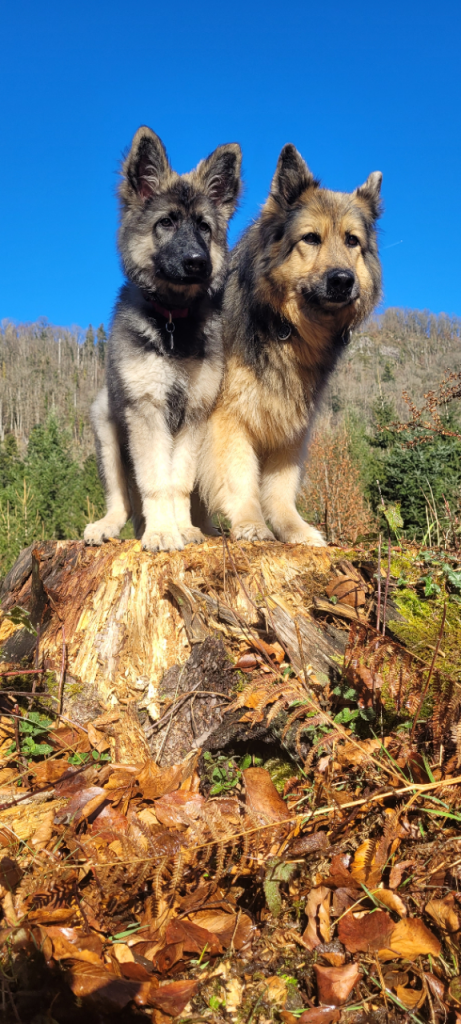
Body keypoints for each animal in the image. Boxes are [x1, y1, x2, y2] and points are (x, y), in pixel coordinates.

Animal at [84, 126, 241, 551]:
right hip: (106, 425)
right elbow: (154, 480)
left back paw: (201, 528)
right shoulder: (146, 409)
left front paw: (181, 529)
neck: (172, 318)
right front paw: (160, 532)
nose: (198, 263)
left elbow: (178, 482)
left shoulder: (194, 415)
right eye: (166, 222)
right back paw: (107, 525)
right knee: (121, 498)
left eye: (204, 227)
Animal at [197, 144, 382, 545]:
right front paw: (251, 524)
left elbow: (280, 488)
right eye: (311, 238)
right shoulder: (229, 418)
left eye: (352, 241)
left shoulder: (291, 426)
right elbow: (240, 478)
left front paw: (294, 530)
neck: (285, 329)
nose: (342, 280)